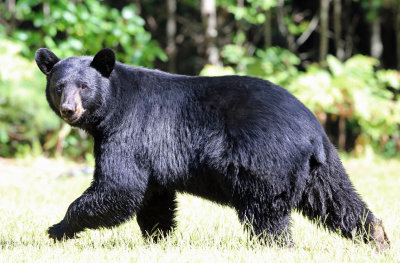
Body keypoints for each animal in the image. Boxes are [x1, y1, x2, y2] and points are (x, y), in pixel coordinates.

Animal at [36, 48, 390, 252]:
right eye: (58, 86)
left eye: (84, 87)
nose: (69, 109)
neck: (112, 109)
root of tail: (312, 131)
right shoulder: (152, 153)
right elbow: (153, 198)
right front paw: (157, 239)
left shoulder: (130, 132)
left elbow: (118, 187)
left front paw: (57, 229)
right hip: (322, 167)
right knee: (337, 199)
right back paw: (377, 237)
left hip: (264, 162)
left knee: (267, 214)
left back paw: (274, 247)